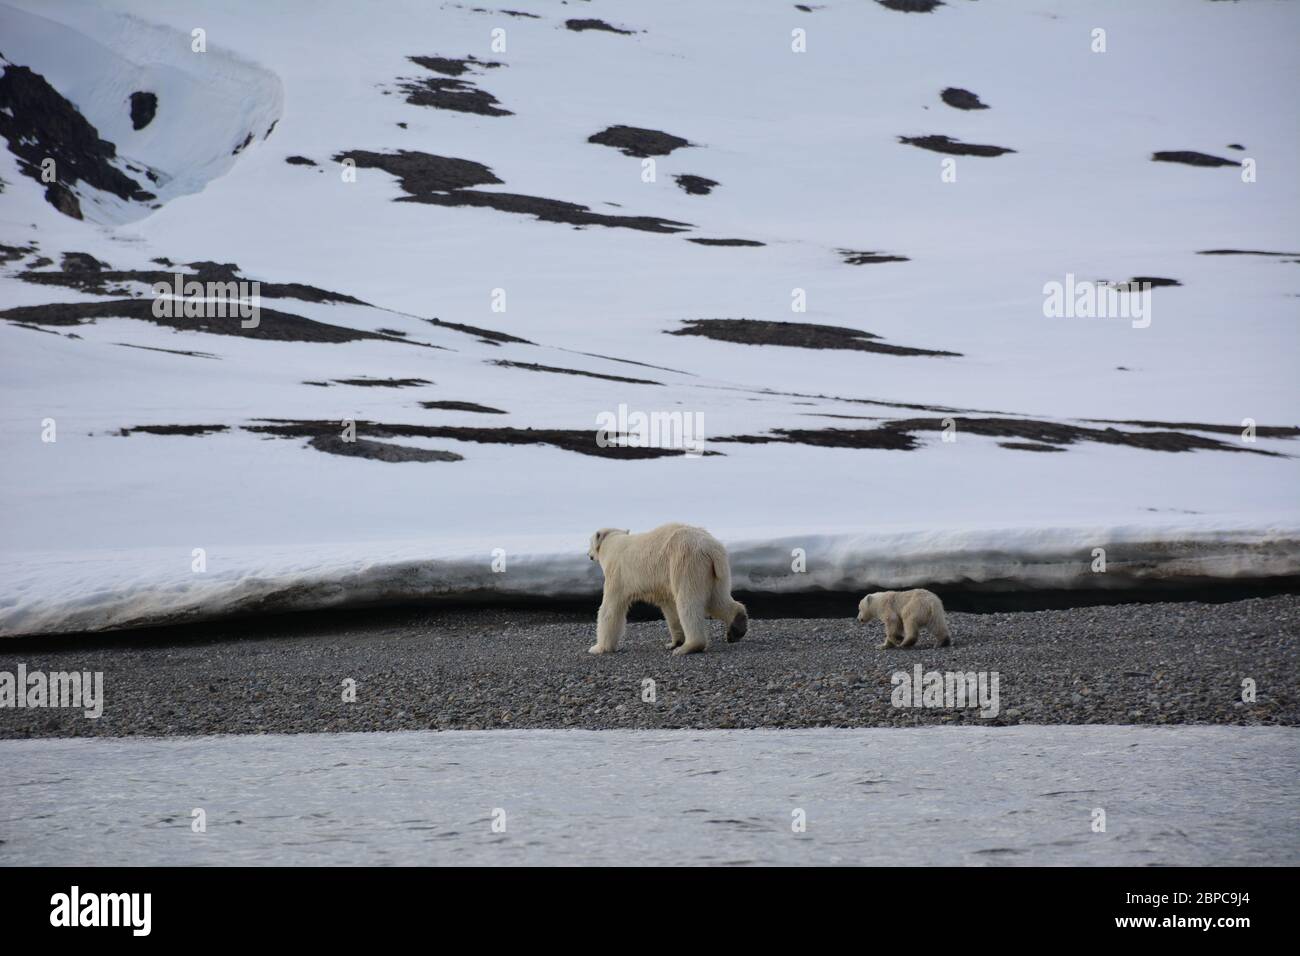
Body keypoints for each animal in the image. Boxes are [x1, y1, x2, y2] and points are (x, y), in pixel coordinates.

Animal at [585, 522, 748, 658]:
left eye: (589, 542)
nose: (588, 554)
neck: (612, 544)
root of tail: (711, 548)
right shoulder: (662, 585)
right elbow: (670, 608)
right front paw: (674, 642)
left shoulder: (617, 575)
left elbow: (610, 608)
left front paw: (598, 648)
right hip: (716, 572)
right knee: (717, 600)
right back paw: (737, 627)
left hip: (686, 562)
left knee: (688, 602)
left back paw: (688, 647)